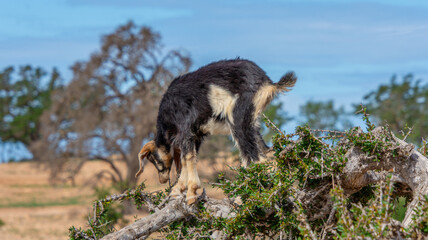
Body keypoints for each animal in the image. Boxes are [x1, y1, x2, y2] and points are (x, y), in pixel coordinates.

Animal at [135, 58, 296, 204]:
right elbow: (188, 159)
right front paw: (178, 190)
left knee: (255, 158)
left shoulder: (185, 131)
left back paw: (241, 199)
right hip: (252, 122)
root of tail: (268, 82)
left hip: (238, 120)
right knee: (263, 152)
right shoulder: (196, 135)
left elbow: (187, 158)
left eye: (153, 159)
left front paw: (191, 194)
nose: (162, 180)